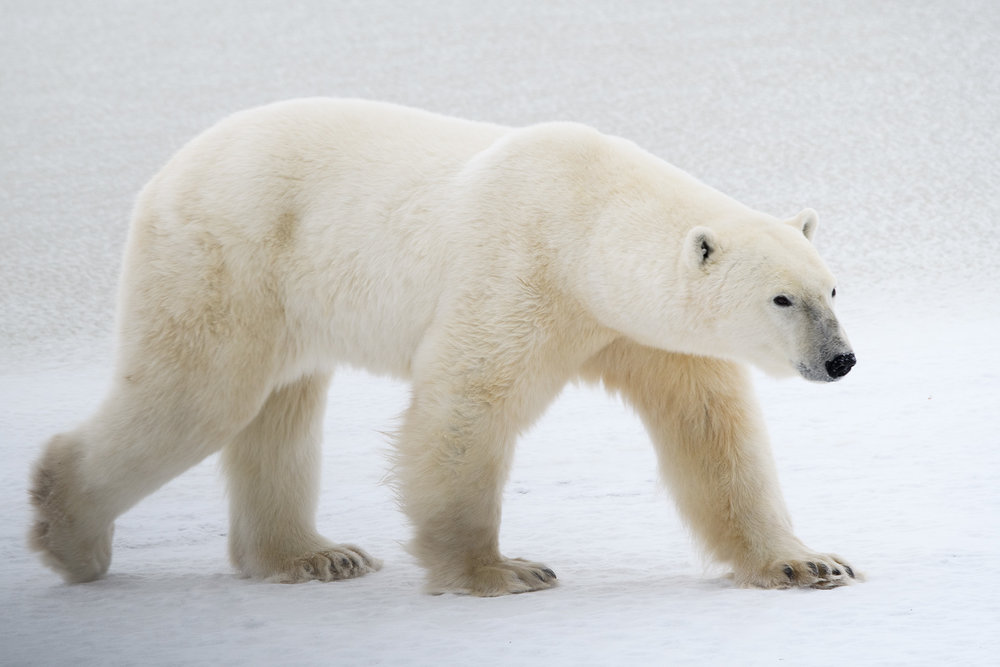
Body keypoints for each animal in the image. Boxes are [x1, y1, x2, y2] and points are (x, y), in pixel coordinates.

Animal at [29, 98, 858, 595]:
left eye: (832, 288)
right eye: (782, 298)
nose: (840, 360)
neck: (587, 219)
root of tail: (168, 172)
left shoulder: (638, 330)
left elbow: (713, 434)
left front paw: (806, 560)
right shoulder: (519, 271)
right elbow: (467, 403)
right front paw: (499, 568)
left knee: (279, 412)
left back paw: (313, 553)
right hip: (226, 259)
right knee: (197, 394)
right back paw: (71, 535)